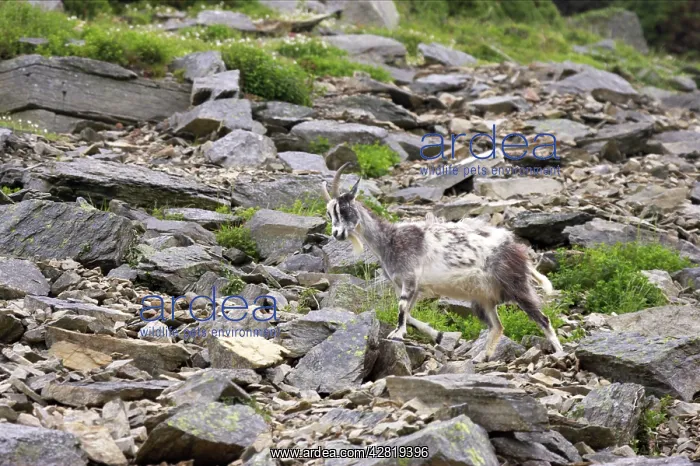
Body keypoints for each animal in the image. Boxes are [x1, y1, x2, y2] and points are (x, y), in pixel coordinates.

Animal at [321, 163, 564, 362]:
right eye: (330, 212)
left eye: (344, 209)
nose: (337, 234)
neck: (390, 240)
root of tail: (516, 248)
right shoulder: (409, 286)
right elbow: (408, 314)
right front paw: (436, 334)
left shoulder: (410, 279)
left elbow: (401, 309)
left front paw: (397, 334)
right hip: (483, 300)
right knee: (497, 326)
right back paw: (481, 357)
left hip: (516, 286)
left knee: (543, 319)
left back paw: (559, 352)